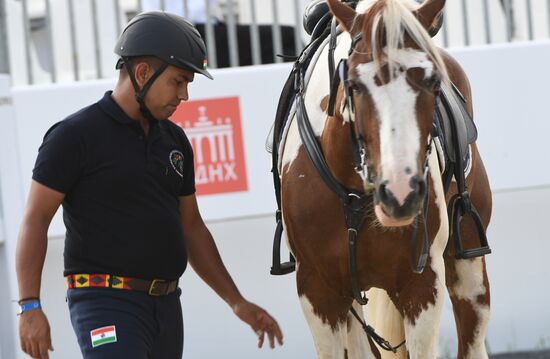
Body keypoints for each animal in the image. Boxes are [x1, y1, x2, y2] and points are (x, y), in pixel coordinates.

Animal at [282, 0, 494, 359]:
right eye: (354, 84)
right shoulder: (317, 290)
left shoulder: (422, 284)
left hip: (469, 270)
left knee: (472, 339)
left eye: (433, 83)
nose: (400, 192)